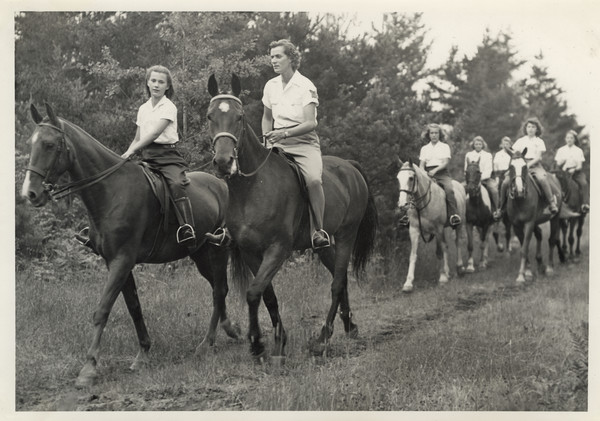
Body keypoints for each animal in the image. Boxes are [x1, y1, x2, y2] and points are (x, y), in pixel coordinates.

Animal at [206, 74, 376, 360]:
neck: (253, 187)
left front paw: (257, 343)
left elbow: (253, 293)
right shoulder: (251, 252)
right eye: (210, 116)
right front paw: (278, 341)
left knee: (337, 283)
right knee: (340, 280)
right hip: (324, 246)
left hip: (347, 235)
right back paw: (349, 327)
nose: (223, 162)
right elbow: (267, 295)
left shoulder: (278, 248)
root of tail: (350, 166)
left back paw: (322, 338)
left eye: (239, 117)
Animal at [396, 158, 466, 292]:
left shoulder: (438, 230)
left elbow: (439, 252)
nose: (402, 205)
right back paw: (448, 271)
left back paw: (460, 268)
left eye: (411, 178)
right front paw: (408, 283)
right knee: (446, 246)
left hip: (460, 224)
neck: (423, 204)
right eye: (398, 178)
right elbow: (413, 255)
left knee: (458, 242)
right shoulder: (414, 230)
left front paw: (442, 278)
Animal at [504, 148, 564, 282]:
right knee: (540, 235)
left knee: (552, 240)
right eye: (510, 166)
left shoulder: (529, 223)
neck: (520, 200)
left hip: (555, 217)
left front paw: (521, 277)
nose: (519, 190)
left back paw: (549, 268)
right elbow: (523, 248)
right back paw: (541, 265)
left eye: (524, 167)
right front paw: (527, 272)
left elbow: (524, 249)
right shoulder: (516, 225)